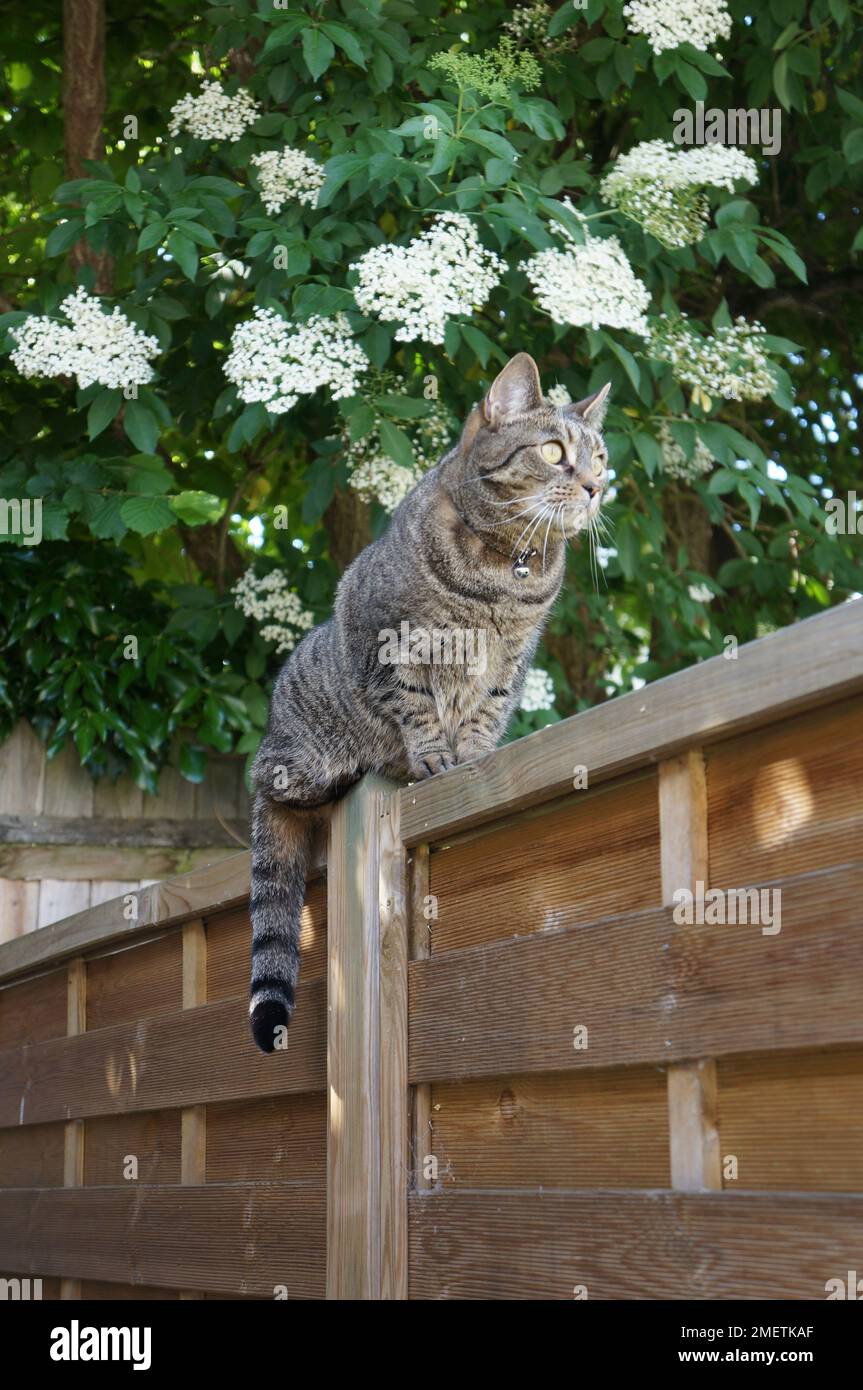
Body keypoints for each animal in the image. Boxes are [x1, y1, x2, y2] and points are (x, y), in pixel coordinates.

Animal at [248, 353, 608, 1045]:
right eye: (554, 452)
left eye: (600, 459)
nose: (597, 488)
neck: (506, 571)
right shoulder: (390, 643)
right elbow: (416, 706)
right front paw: (436, 758)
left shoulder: (509, 662)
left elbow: (486, 710)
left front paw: (470, 756)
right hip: (293, 763)